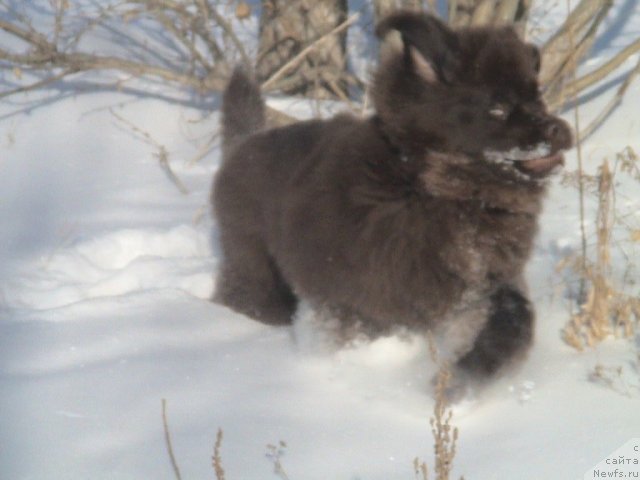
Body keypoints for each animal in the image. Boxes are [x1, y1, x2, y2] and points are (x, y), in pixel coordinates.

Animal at [212, 12, 572, 382]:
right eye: (497, 108)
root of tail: (242, 144)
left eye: (538, 96)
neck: (432, 189)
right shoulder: (349, 301)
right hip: (255, 266)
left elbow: (512, 322)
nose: (557, 129)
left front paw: (463, 379)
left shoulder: (483, 286)